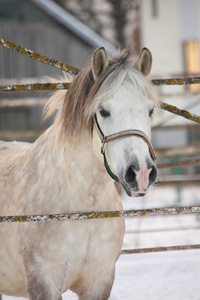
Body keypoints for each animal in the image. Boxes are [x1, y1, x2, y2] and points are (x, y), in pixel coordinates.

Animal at [0, 45, 159, 298]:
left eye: (150, 110)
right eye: (103, 111)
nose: (141, 173)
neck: (82, 210)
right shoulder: (43, 282)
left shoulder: (99, 282)